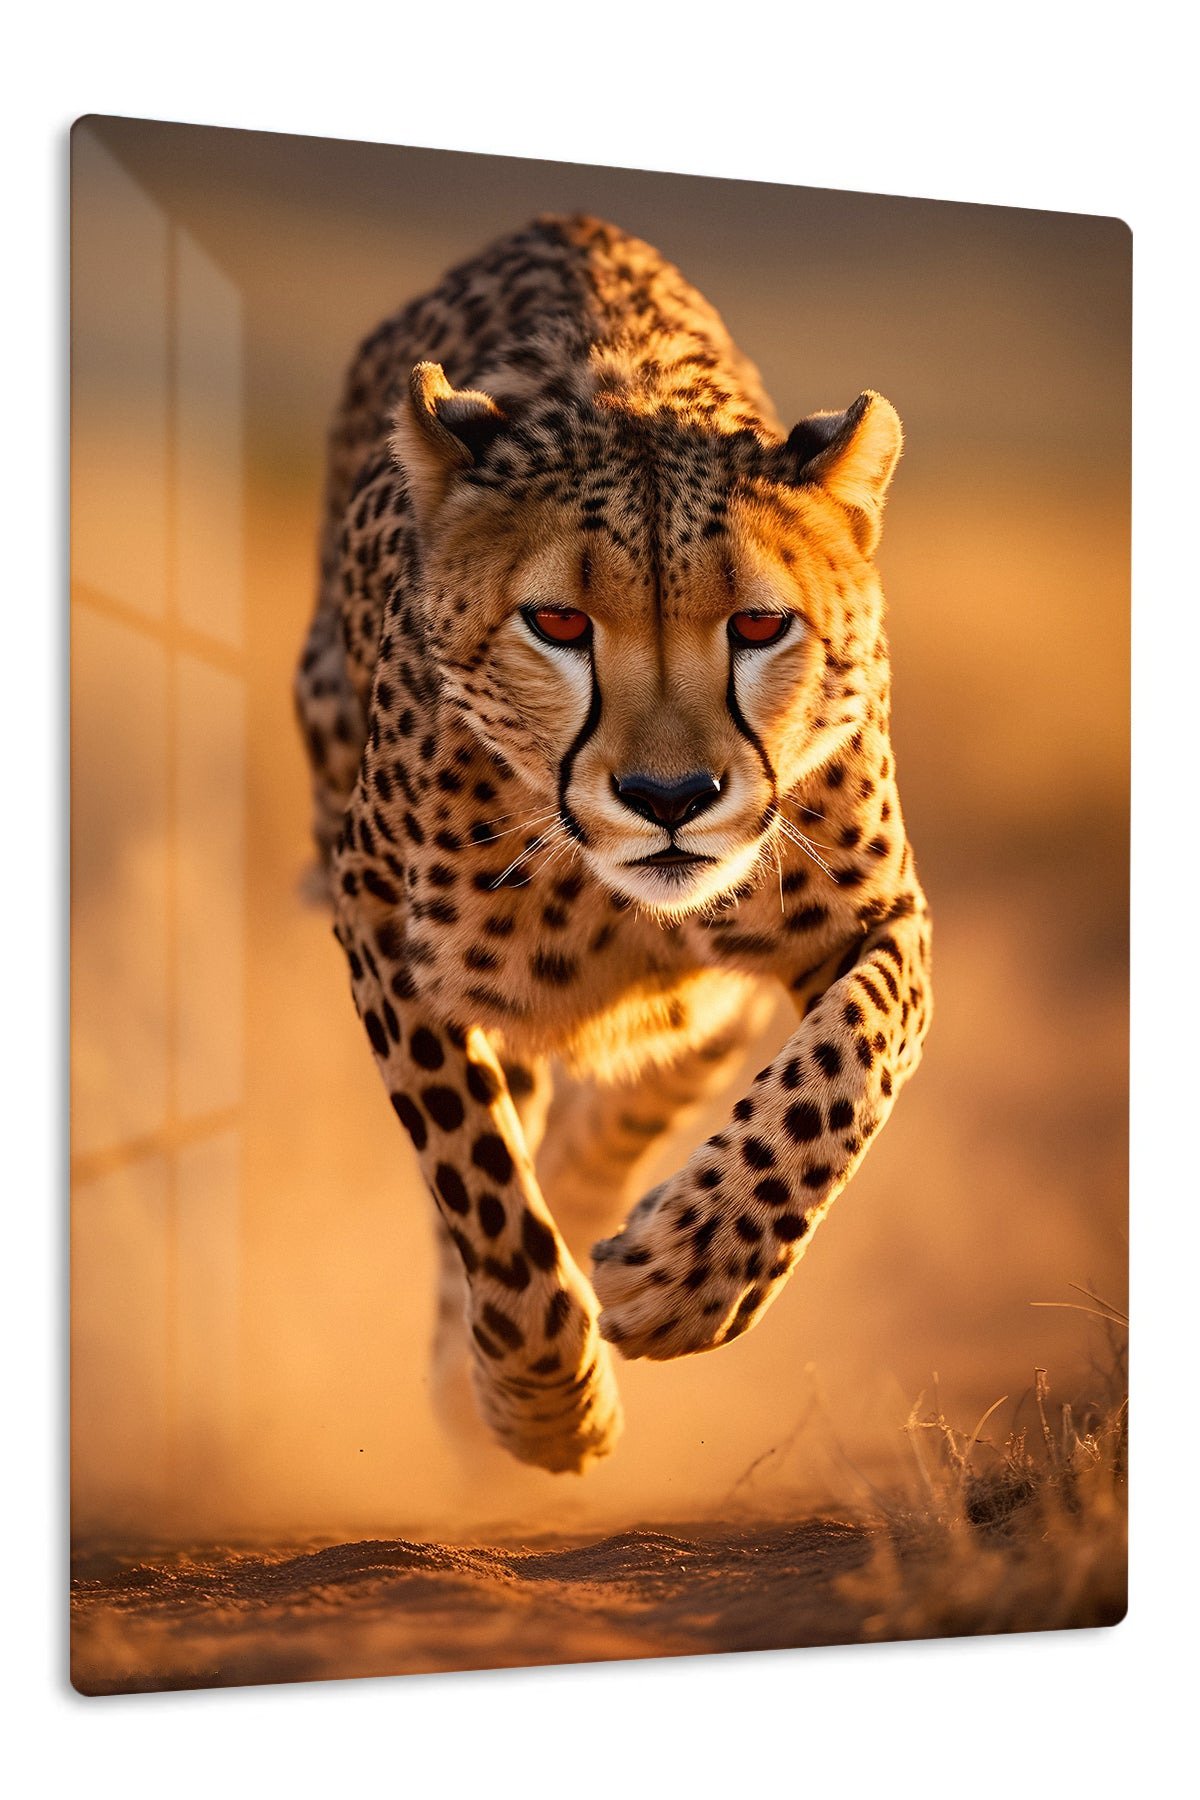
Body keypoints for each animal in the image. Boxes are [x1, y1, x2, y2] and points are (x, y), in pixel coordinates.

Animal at [294, 213, 932, 1477]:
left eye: (760, 624)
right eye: (557, 623)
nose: (670, 795)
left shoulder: (879, 915)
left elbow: (850, 1065)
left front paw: (692, 1269)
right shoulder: (385, 927)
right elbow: (476, 1175)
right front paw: (543, 1399)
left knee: (658, 1078)